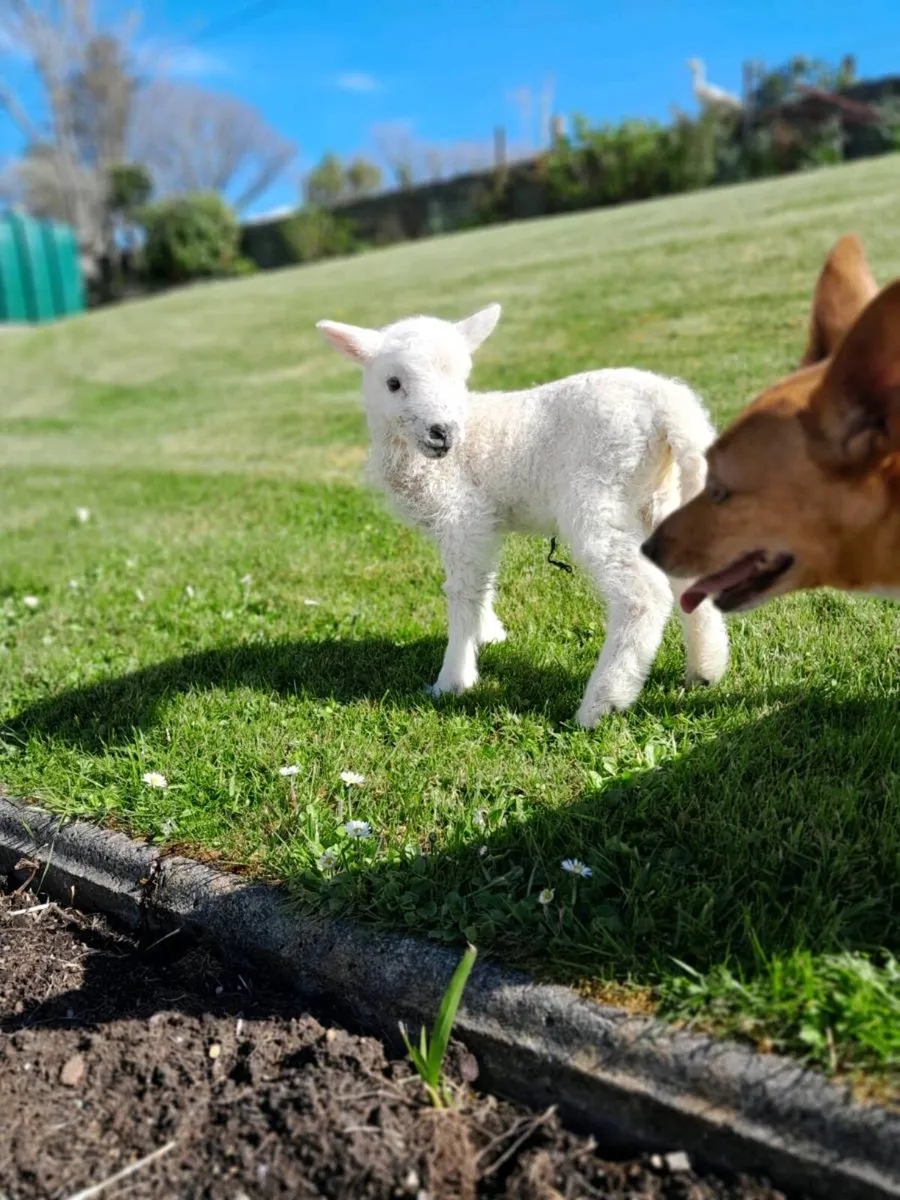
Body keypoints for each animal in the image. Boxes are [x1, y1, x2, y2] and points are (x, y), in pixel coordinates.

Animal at [316, 303, 729, 727]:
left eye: (461, 377)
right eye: (393, 383)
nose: (442, 433)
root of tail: (669, 403)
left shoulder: (462, 515)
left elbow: (462, 590)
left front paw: (454, 679)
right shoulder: (482, 522)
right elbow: (483, 582)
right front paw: (489, 634)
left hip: (597, 492)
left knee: (642, 592)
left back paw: (601, 704)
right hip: (660, 492)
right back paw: (705, 668)